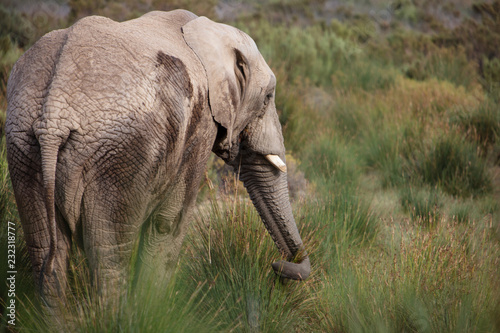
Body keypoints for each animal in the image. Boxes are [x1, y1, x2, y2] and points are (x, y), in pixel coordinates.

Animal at [5, 8, 308, 308]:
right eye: (268, 98)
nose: (277, 267)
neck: (210, 32)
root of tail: (54, 114)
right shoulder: (201, 125)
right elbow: (169, 222)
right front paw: (152, 309)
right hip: (121, 154)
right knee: (109, 253)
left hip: (24, 147)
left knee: (46, 250)